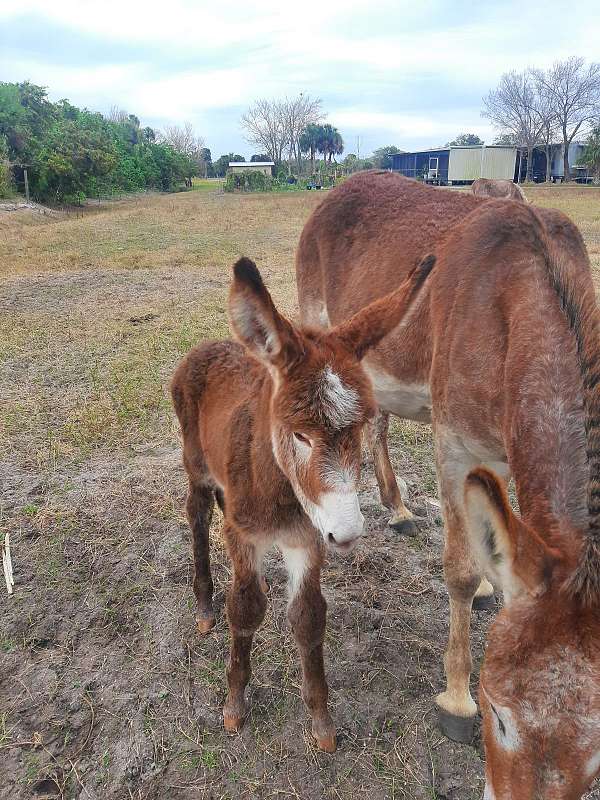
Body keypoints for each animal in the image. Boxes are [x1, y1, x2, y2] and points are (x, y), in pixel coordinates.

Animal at [171, 255, 434, 752]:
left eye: (362, 427)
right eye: (300, 435)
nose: (347, 534)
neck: (280, 493)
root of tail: (210, 344)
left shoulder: (308, 539)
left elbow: (309, 617)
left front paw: (321, 721)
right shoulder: (245, 533)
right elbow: (245, 609)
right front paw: (235, 705)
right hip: (195, 462)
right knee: (197, 514)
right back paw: (205, 606)